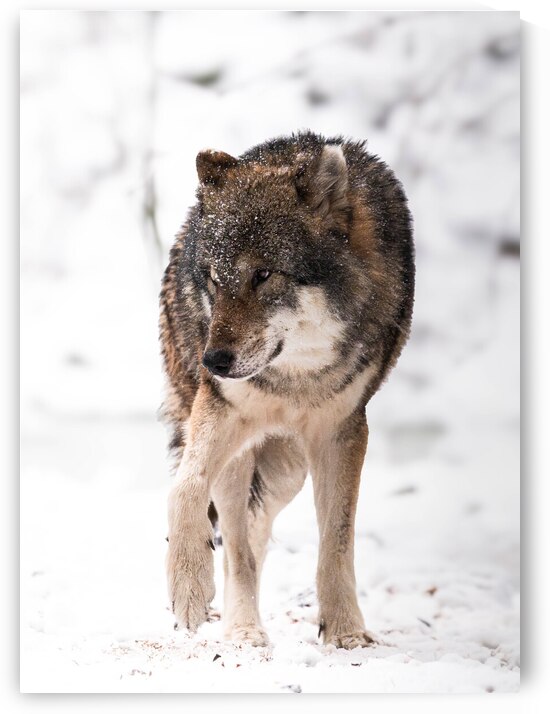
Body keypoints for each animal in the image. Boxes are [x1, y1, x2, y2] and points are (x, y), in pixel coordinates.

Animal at [159, 131, 414, 649]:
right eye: (213, 278)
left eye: (263, 274)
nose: (212, 361)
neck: (296, 377)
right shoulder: (220, 407)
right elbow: (186, 489)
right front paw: (189, 587)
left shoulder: (341, 433)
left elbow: (337, 541)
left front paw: (345, 632)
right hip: (240, 452)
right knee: (236, 543)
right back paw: (242, 630)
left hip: (287, 471)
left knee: (254, 534)